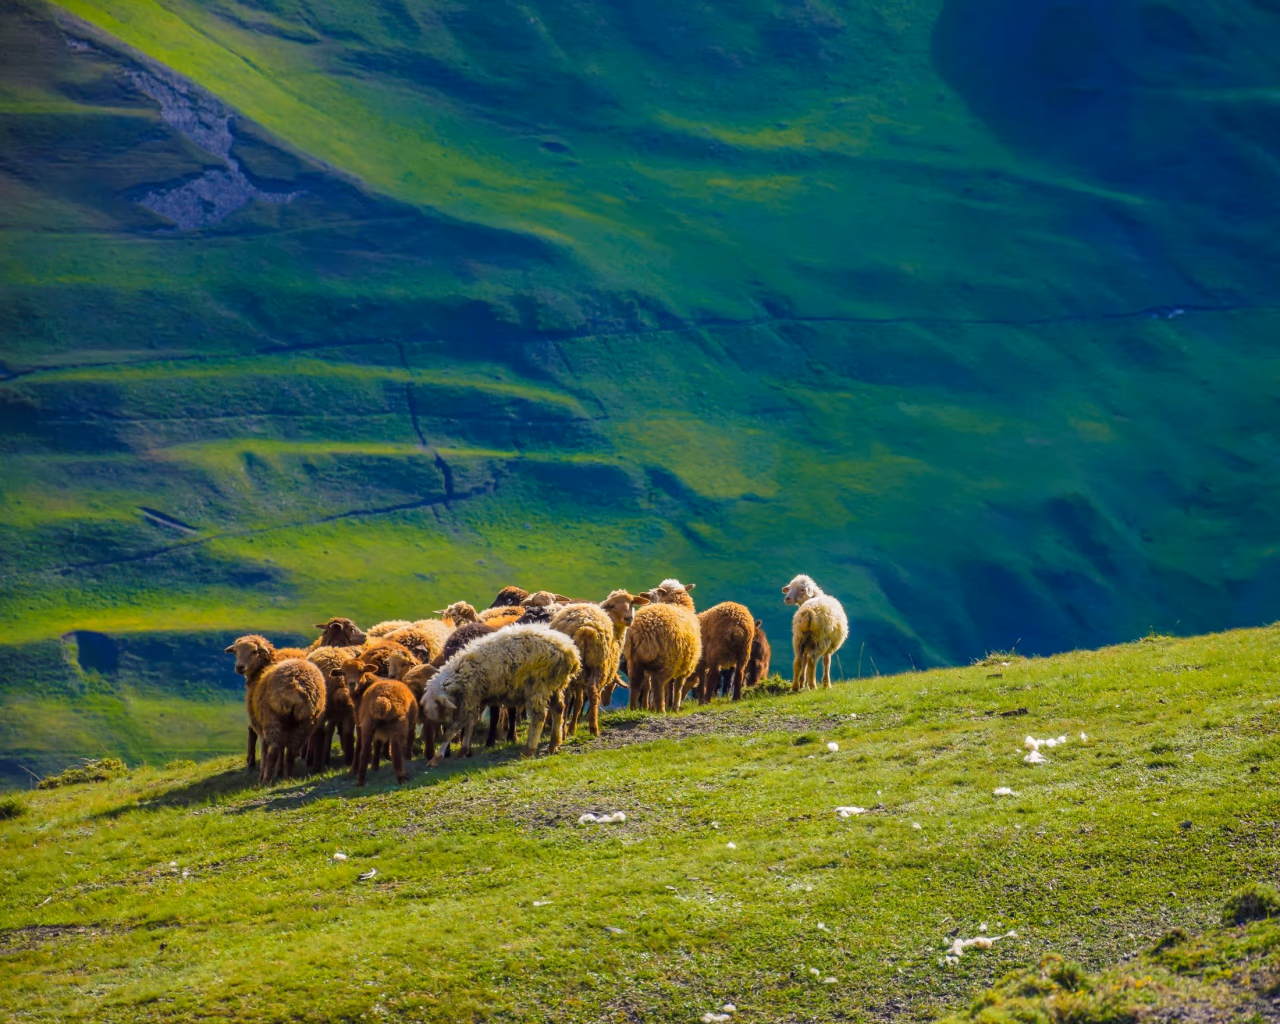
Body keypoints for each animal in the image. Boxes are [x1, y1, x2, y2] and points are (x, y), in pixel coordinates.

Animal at [225, 635, 325, 784]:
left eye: (254, 651)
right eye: (235, 652)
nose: (239, 667)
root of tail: (296, 688)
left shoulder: (259, 723)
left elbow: (265, 750)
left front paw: (264, 773)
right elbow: (282, 750)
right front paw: (279, 771)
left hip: (272, 718)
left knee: (273, 750)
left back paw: (265, 780)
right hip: (306, 721)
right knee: (291, 751)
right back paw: (287, 777)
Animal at [421, 623, 581, 764]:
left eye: (441, 709)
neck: (458, 676)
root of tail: (570, 652)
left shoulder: (469, 698)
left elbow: (454, 729)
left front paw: (437, 758)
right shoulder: (477, 699)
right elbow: (471, 723)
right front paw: (463, 749)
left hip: (539, 685)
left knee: (539, 716)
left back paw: (529, 750)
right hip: (553, 685)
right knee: (558, 708)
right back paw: (554, 744)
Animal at [624, 579, 701, 713]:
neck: (677, 604)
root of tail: (642, 630)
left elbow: (668, 686)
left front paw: (669, 704)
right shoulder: (686, 665)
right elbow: (677, 686)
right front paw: (675, 707)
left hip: (634, 661)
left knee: (635, 683)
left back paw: (634, 708)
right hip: (665, 661)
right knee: (657, 683)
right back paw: (661, 709)